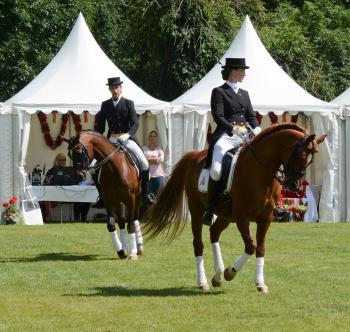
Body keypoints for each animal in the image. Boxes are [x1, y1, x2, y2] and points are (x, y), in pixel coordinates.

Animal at [66, 131, 144, 260]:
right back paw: (126, 247)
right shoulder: (109, 200)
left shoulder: (130, 199)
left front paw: (133, 253)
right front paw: (121, 251)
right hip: (118, 201)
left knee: (135, 219)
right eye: (70, 155)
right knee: (121, 221)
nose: (79, 176)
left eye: (79, 152)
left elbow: (131, 224)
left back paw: (139, 247)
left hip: (137, 198)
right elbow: (111, 225)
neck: (114, 168)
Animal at [143, 124, 326, 290]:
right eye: (301, 155)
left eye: (310, 160)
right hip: (196, 210)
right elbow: (250, 246)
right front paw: (230, 272)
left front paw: (259, 283)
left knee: (214, 233)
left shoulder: (265, 217)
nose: (294, 185)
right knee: (198, 244)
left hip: (225, 216)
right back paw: (203, 282)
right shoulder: (241, 216)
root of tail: (194, 155)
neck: (260, 172)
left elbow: (260, 247)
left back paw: (217, 276)